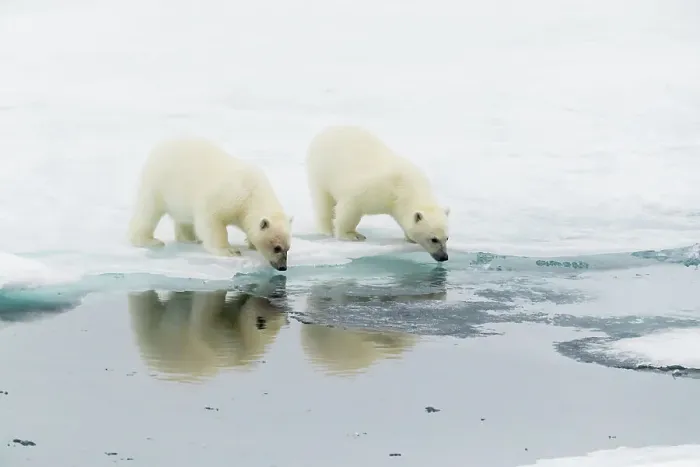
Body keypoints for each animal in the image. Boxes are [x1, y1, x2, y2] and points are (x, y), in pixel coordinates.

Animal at [128, 137, 293, 271]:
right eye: (277, 248)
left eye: (288, 248)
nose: (283, 267)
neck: (252, 193)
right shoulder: (226, 197)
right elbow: (211, 221)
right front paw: (230, 251)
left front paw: (250, 243)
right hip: (158, 184)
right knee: (148, 212)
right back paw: (149, 241)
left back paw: (190, 239)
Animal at [305, 125, 450, 262]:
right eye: (434, 239)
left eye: (447, 238)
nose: (444, 257)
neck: (404, 187)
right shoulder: (374, 189)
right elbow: (350, 207)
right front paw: (352, 235)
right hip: (322, 169)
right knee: (323, 200)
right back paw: (327, 230)